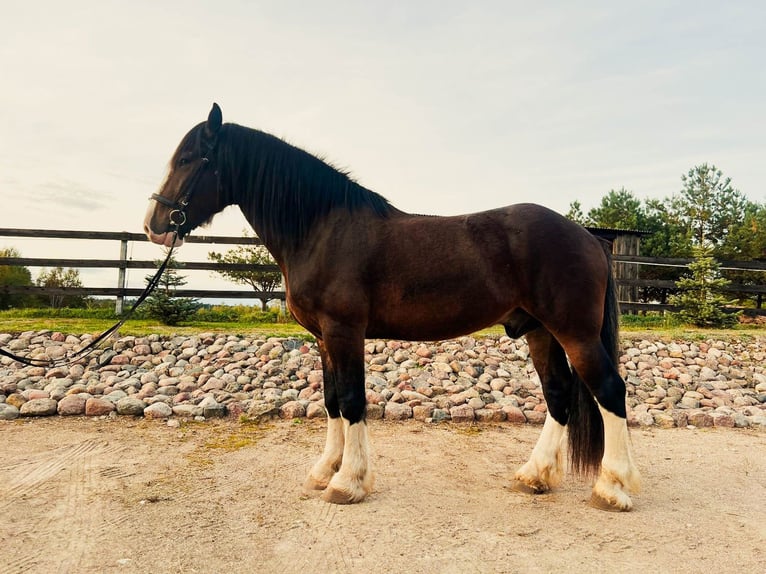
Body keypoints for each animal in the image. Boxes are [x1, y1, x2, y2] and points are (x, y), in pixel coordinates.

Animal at [142, 103, 640, 512]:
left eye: (188, 159)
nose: (154, 225)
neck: (321, 230)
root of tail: (589, 237)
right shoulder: (323, 339)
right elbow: (331, 401)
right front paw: (324, 471)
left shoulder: (344, 331)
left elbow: (352, 400)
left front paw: (348, 482)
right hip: (539, 331)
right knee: (559, 396)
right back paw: (534, 476)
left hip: (575, 333)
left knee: (609, 390)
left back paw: (612, 488)